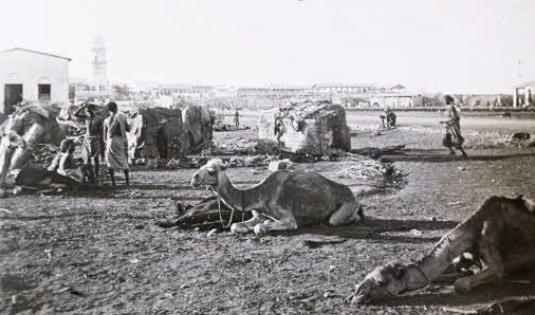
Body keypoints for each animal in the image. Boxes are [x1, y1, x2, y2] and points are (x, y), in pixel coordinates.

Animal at [189, 159, 364, 236]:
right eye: (202, 166)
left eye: (211, 171)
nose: (194, 178)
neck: (258, 194)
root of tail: (353, 196)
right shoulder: (258, 214)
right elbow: (235, 226)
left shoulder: (288, 217)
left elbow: (261, 228)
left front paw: (263, 226)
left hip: (346, 205)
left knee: (335, 220)